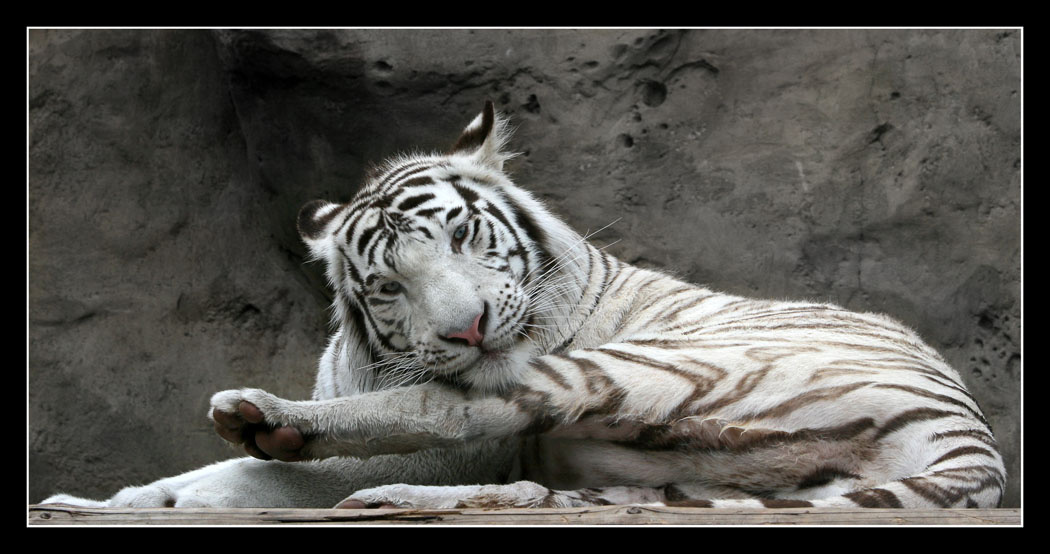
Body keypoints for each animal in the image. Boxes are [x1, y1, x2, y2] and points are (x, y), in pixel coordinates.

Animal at [43, 101, 1005, 510]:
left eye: (465, 236)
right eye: (388, 285)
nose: (466, 328)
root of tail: (971, 436)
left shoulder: (462, 438)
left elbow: (250, 477)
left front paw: (122, 501)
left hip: (626, 370)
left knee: (444, 411)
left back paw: (271, 422)